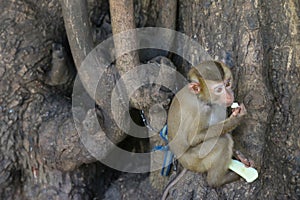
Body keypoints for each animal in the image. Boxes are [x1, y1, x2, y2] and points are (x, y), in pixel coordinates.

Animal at [162, 61, 253, 200]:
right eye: (219, 90)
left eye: (228, 83)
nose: (229, 95)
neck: (201, 98)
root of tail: (184, 163)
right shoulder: (202, 111)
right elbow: (194, 138)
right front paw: (236, 119)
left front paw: (239, 155)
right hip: (194, 161)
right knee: (223, 141)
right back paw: (217, 181)